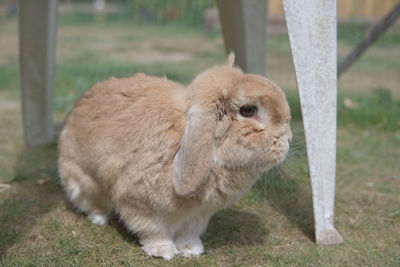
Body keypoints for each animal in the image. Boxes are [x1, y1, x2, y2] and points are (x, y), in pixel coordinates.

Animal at [57, 53, 292, 260]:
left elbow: (188, 232)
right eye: (248, 110)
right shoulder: (142, 205)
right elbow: (153, 231)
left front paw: (191, 249)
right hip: (84, 180)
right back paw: (99, 218)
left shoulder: (198, 216)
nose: (288, 139)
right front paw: (164, 251)